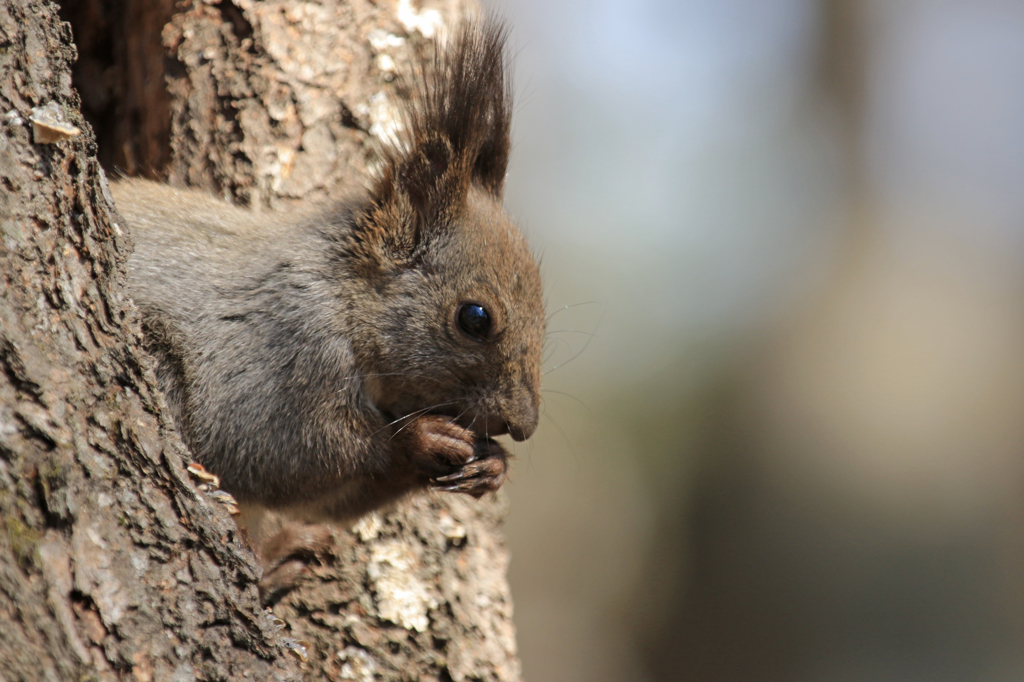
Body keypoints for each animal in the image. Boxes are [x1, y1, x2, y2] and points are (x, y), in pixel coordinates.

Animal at [110, 19, 544, 532]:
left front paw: (492, 465)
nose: (523, 425)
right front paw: (419, 437)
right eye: (475, 319)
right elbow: (270, 448)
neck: (342, 296)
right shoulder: (278, 352)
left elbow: (326, 504)